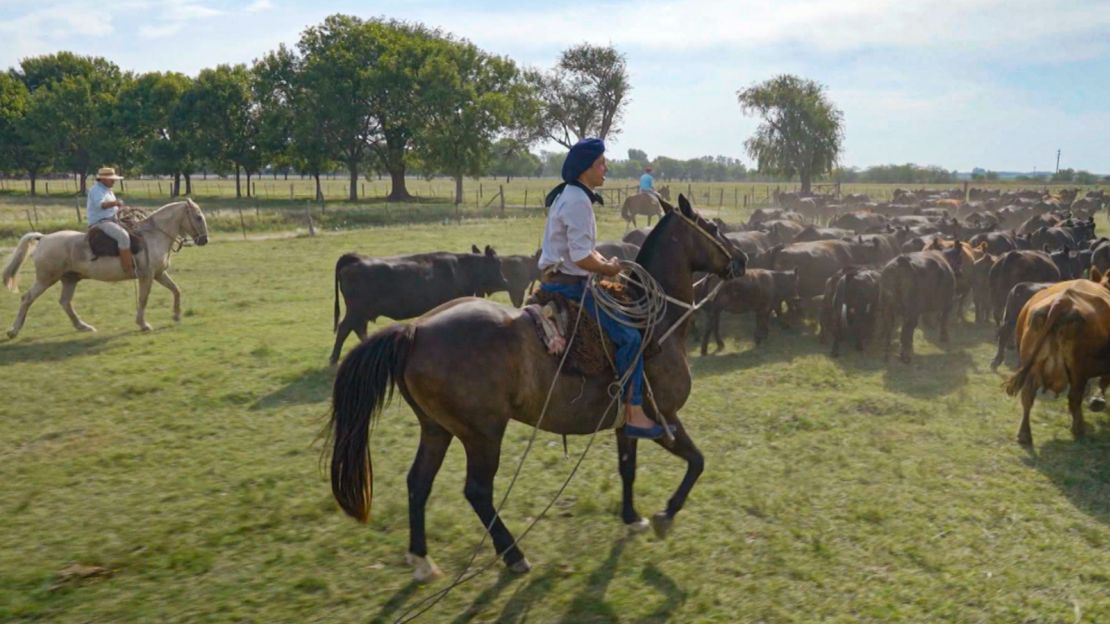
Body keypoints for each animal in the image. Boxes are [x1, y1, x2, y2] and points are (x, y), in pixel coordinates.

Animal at [1, 197, 209, 335]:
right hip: (46, 279)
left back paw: (83, 326)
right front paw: (143, 324)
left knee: (65, 302)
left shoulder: (158, 274)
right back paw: (14, 330)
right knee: (27, 298)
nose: (204, 240)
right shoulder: (147, 275)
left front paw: (176, 315)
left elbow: (176, 290)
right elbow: (143, 299)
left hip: (69, 279)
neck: (154, 235)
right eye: (198, 217)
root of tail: (43, 238)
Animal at [328, 194, 745, 577]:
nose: (741, 259)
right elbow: (696, 461)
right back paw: (513, 554)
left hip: (436, 428)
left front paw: (632, 517)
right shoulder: (664, 417)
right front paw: (665, 515)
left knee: (418, 482)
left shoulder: (627, 423)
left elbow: (628, 467)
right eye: (712, 227)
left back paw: (422, 559)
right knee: (477, 491)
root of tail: (415, 331)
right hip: (482, 434)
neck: (657, 323)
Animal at [1012, 269, 1110, 444]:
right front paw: (1097, 401)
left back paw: (1024, 435)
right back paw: (1079, 428)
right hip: (1078, 369)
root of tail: (1062, 302)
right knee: (1075, 397)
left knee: (1027, 395)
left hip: (1031, 366)